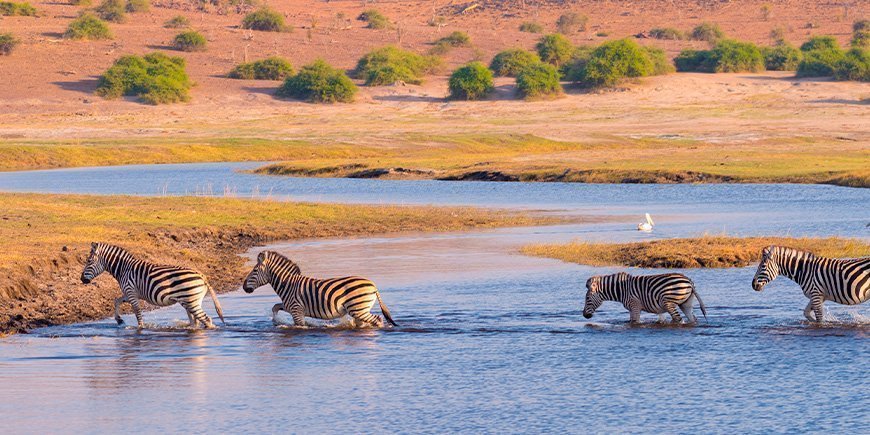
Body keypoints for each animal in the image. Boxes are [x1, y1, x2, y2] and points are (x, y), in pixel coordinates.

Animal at [80, 242, 225, 329]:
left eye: (88, 261)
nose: (82, 279)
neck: (124, 269)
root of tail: (202, 276)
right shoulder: (130, 293)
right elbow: (117, 301)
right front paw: (119, 320)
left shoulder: (131, 292)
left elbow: (137, 313)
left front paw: (141, 328)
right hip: (192, 301)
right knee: (196, 321)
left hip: (191, 301)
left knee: (207, 320)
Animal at [242, 250, 397, 328]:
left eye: (254, 270)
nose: (243, 287)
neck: (288, 284)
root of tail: (373, 285)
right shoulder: (291, 306)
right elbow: (275, 307)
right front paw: (276, 321)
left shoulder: (296, 310)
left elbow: (300, 326)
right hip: (359, 309)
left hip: (358, 308)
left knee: (378, 319)